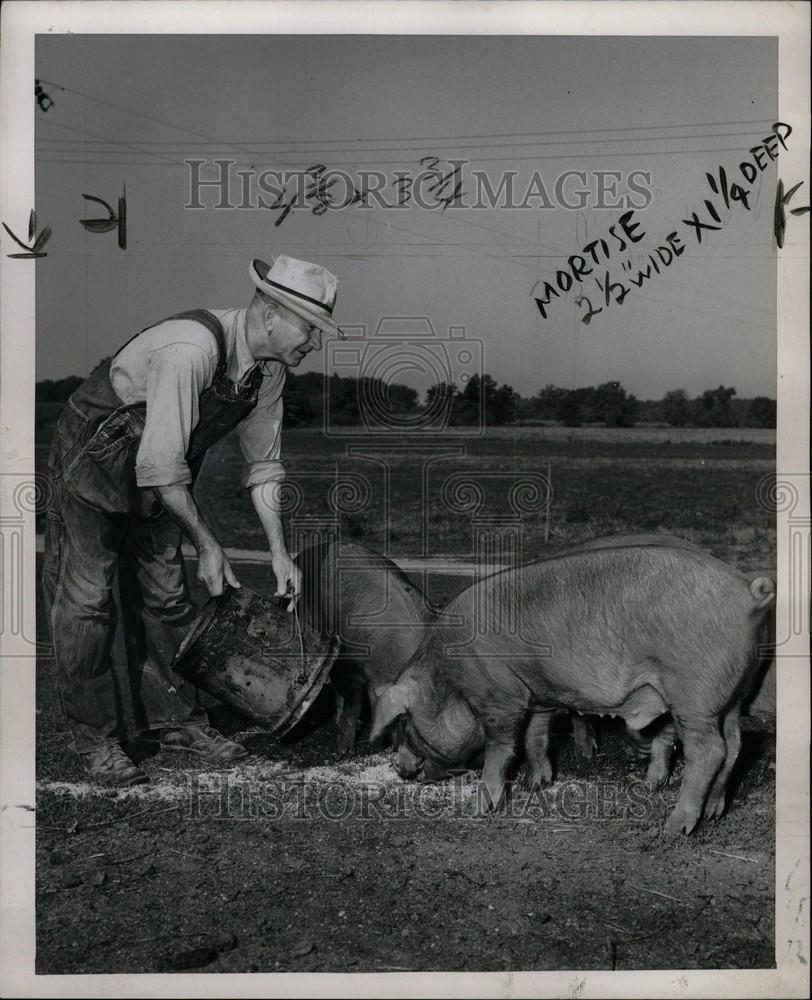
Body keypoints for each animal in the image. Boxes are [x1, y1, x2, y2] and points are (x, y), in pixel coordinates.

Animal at [368, 544, 772, 832]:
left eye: (404, 725)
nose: (400, 768)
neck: (451, 677)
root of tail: (747, 592)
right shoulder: (538, 694)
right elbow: (535, 737)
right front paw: (536, 784)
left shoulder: (501, 696)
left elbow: (502, 746)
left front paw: (483, 807)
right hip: (733, 695)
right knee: (735, 744)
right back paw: (715, 812)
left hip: (694, 694)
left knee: (709, 750)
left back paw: (676, 827)